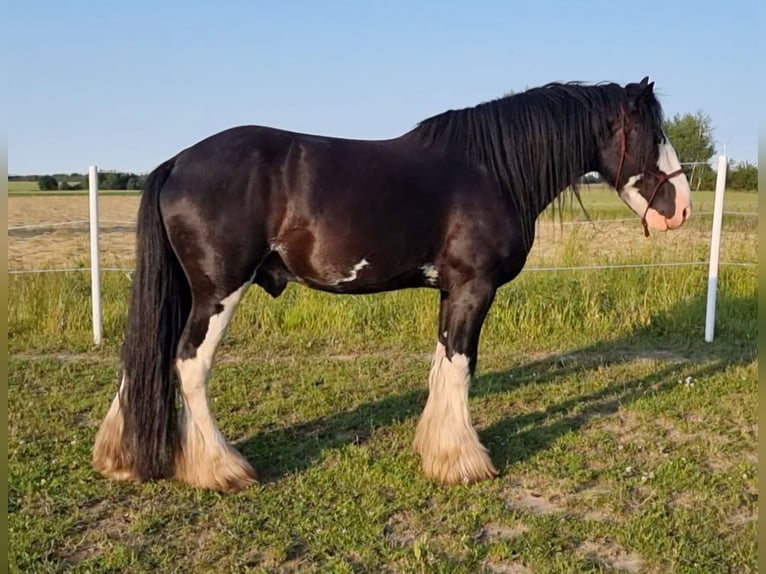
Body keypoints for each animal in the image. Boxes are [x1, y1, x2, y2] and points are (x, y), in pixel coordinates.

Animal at [93, 77, 691, 492]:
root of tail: (177, 161)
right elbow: (461, 366)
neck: (491, 170)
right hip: (219, 291)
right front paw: (463, 462)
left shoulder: (452, 291)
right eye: (652, 133)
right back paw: (221, 469)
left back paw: (119, 458)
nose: (681, 208)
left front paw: (438, 451)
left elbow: (441, 367)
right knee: (189, 362)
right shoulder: (474, 288)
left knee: (143, 355)